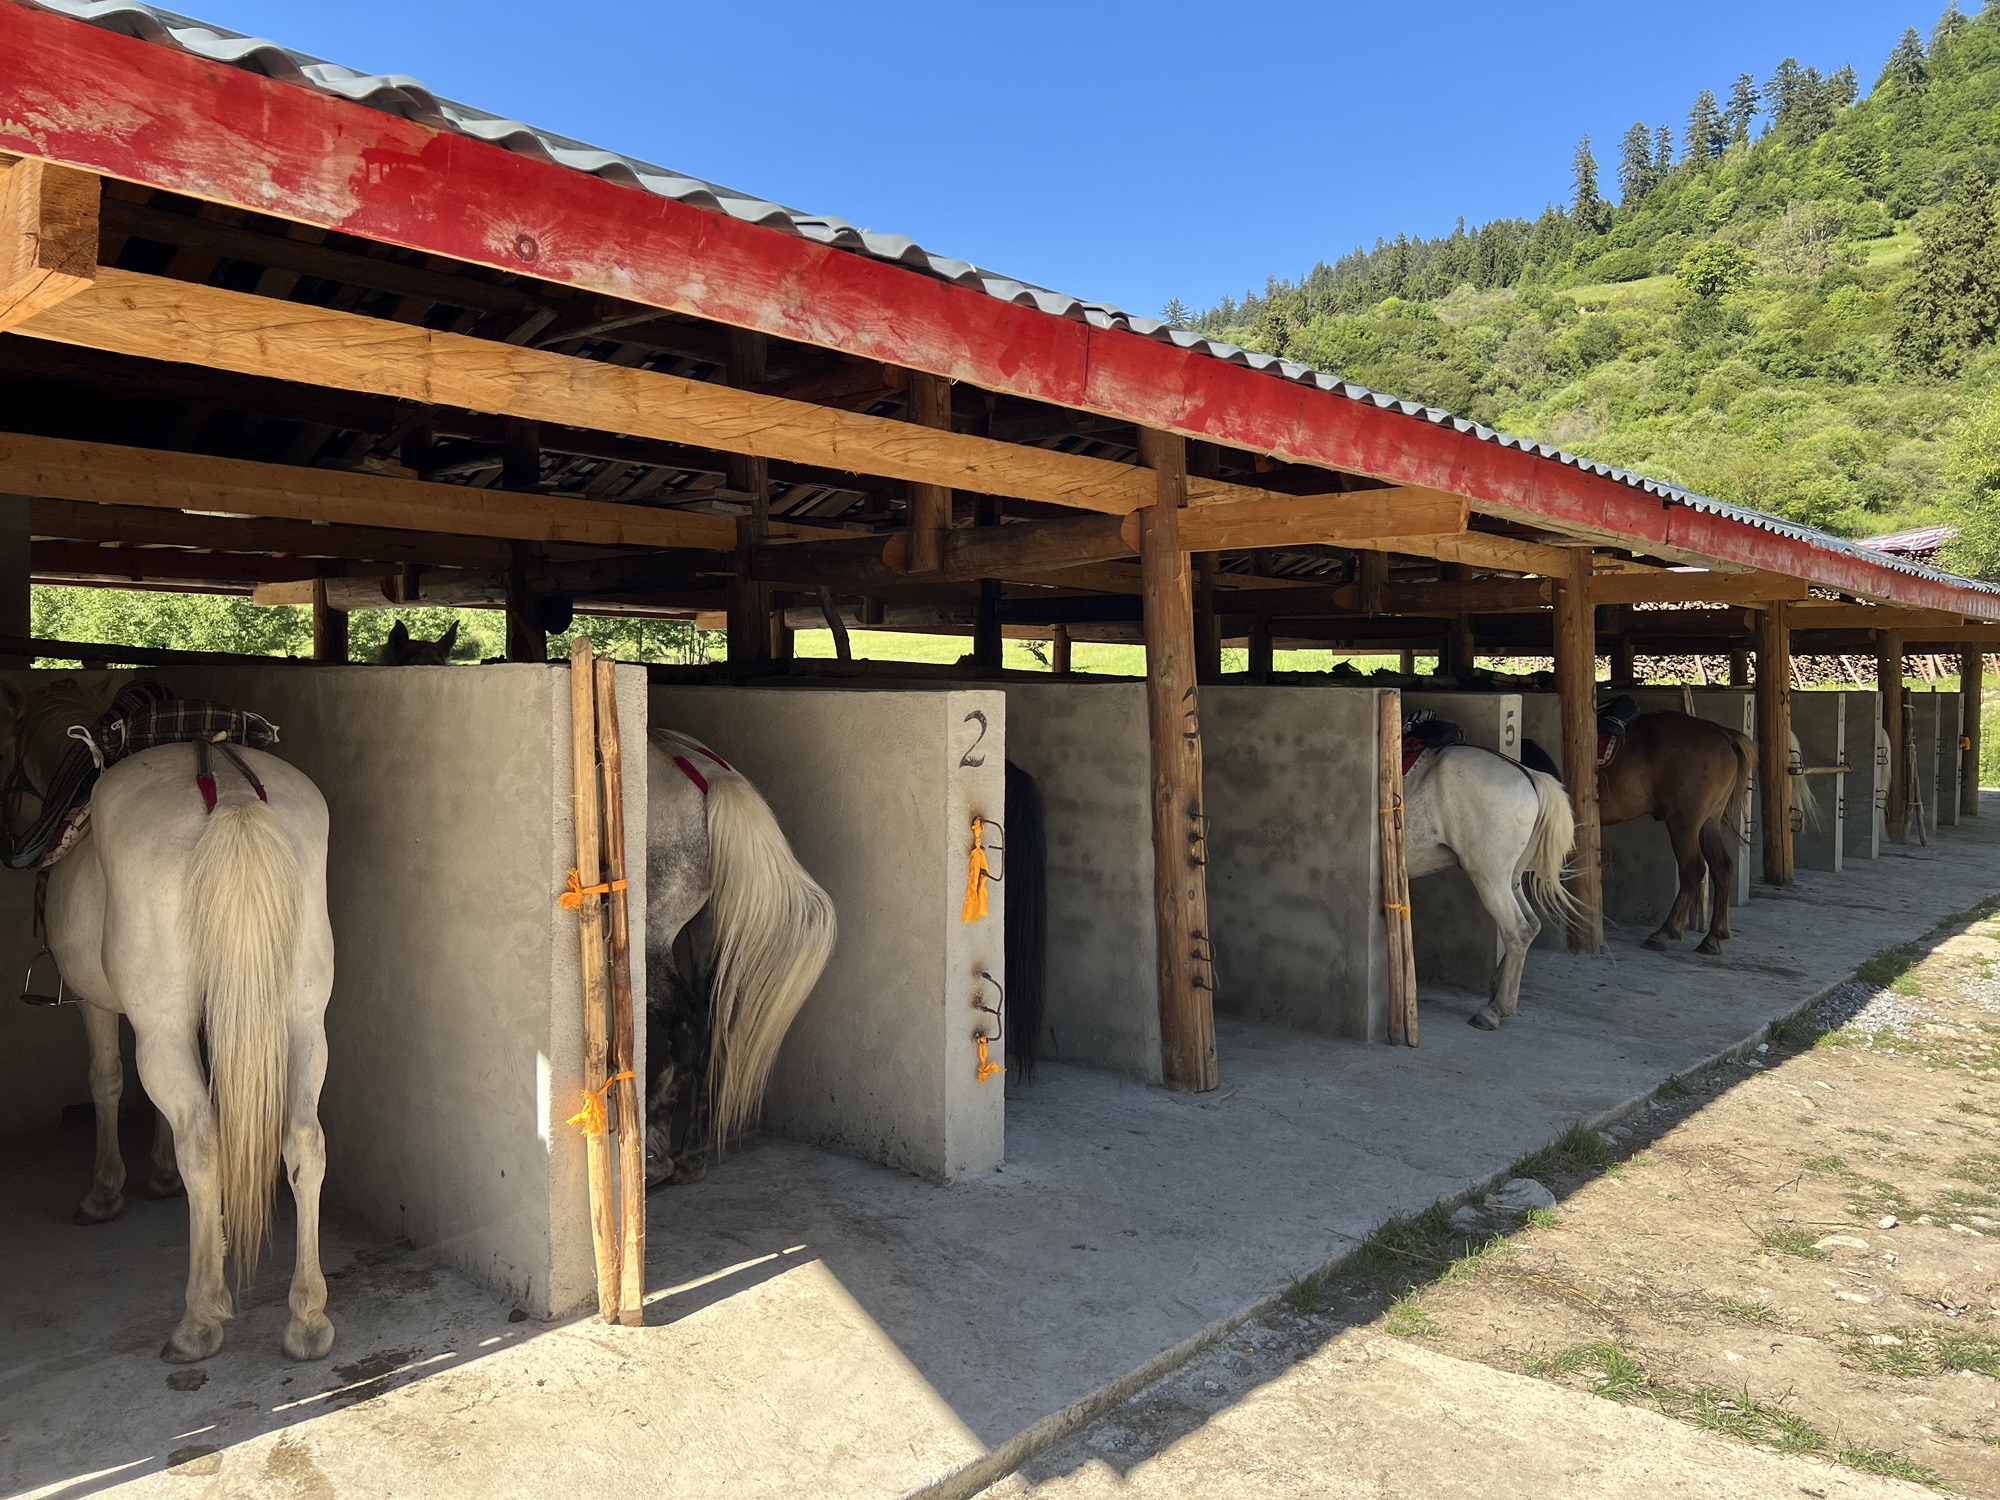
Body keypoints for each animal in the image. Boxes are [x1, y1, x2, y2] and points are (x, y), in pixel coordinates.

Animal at [1, 679, 337, 1363]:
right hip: (303, 1020)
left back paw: (199, 1320)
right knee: (303, 1139)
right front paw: (156, 1174)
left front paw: (107, 1191)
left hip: (163, 1028)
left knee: (204, 1144)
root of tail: (231, 796)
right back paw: (308, 1318)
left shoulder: (103, 1006)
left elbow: (107, 1080)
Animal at [1401, 743, 1579, 1030]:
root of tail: (1529, 775)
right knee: (1532, 924)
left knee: (1517, 930)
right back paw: (1497, 990)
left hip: (1489, 876)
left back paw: (1495, 1010)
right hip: (1511, 878)